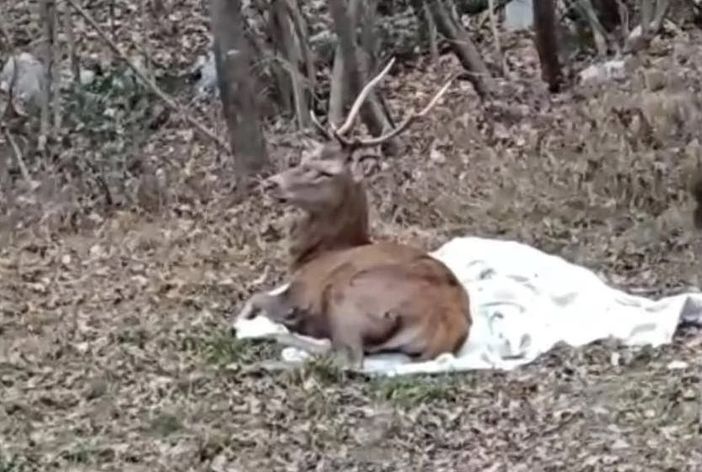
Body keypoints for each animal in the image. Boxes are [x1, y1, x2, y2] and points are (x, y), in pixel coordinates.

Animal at [233, 58, 472, 369]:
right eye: (305, 158)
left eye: (325, 172)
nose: (272, 183)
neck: (314, 254)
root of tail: (446, 328)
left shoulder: (297, 291)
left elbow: (255, 297)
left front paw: (242, 324)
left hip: (347, 294)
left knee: (346, 357)